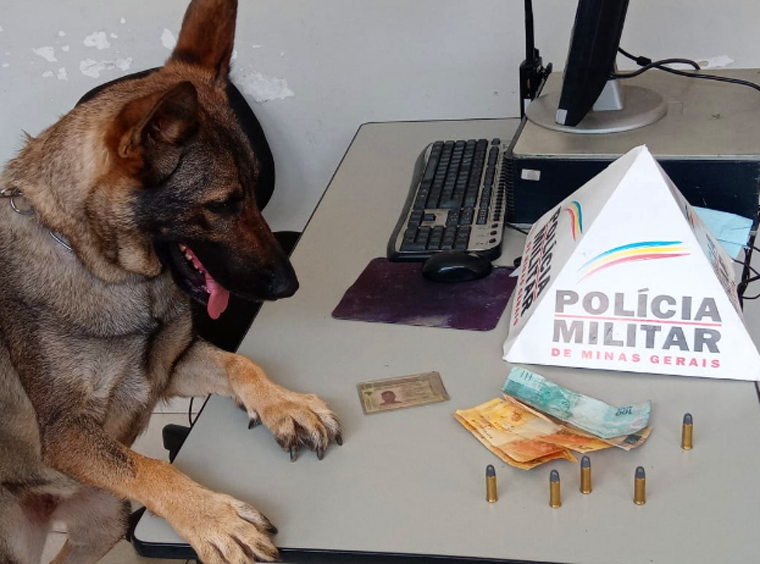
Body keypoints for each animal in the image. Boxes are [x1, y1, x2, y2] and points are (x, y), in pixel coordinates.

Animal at [0, 0, 342, 560]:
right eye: (222, 204)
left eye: (255, 188)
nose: (289, 286)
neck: (109, 273)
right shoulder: (69, 434)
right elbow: (148, 466)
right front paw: (214, 518)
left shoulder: (167, 370)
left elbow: (240, 362)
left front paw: (287, 405)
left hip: (104, 522)